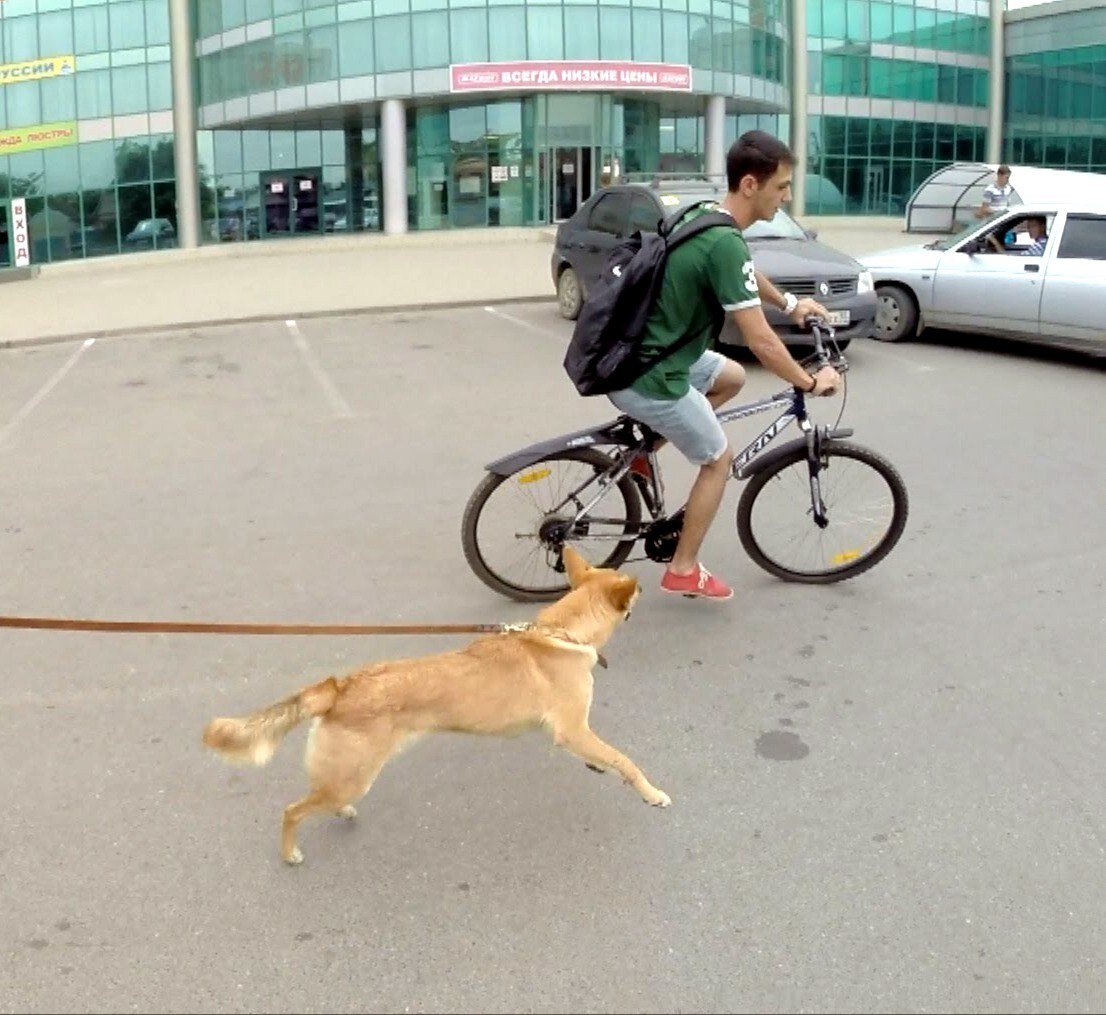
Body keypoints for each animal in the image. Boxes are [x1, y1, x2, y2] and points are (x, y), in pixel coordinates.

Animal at [203, 548, 668, 866]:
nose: (646, 587)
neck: (562, 633)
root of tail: (338, 687)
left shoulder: (573, 734)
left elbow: (606, 759)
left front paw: (601, 768)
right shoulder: (573, 729)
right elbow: (626, 762)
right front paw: (652, 793)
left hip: (347, 776)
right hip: (353, 776)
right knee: (292, 811)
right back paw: (290, 853)